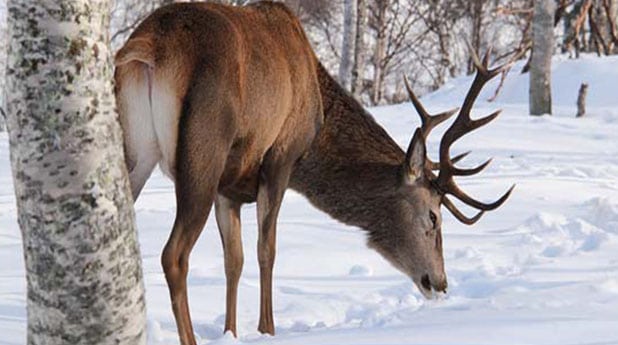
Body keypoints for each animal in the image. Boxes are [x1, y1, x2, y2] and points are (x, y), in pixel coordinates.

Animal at [113, 1, 512, 342]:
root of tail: (150, 48)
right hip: (204, 149)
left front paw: (231, 333)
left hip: (133, 151)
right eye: (433, 216)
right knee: (173, 255)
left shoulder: (229, 188)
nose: (440, 282)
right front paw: (268, 330)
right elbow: (267, 250)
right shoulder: (280, 159)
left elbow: (234, 261)